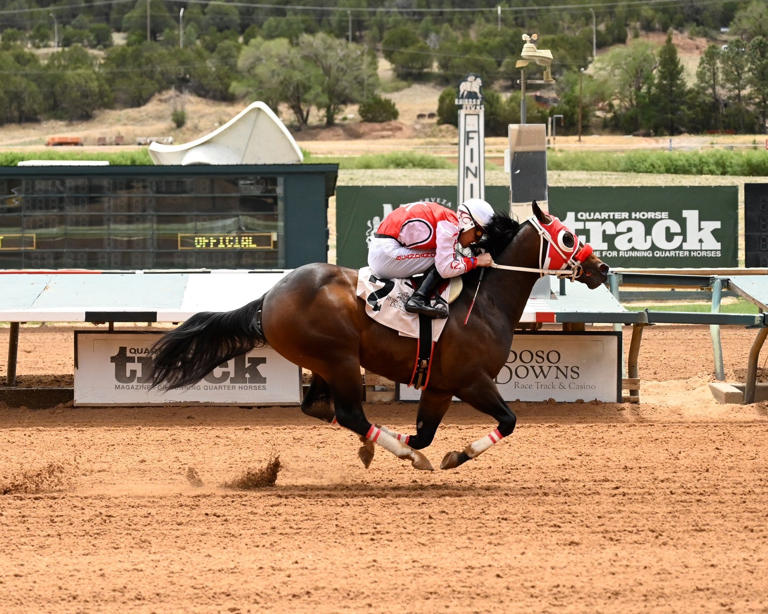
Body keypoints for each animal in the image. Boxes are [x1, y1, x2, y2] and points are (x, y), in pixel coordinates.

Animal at [148, 202, 608, 472]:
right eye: (569, 236)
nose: (601, 269)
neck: (486, 300)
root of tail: (269, 296)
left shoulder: (439, 386)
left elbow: (424, 431)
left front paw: (417, 445)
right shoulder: (472, 381)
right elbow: (508, 421)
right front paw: (452, 456)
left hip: (325, 363)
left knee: (320, 408)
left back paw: (376, 446)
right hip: (340, 360)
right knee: (350, 413)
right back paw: (399, 452)